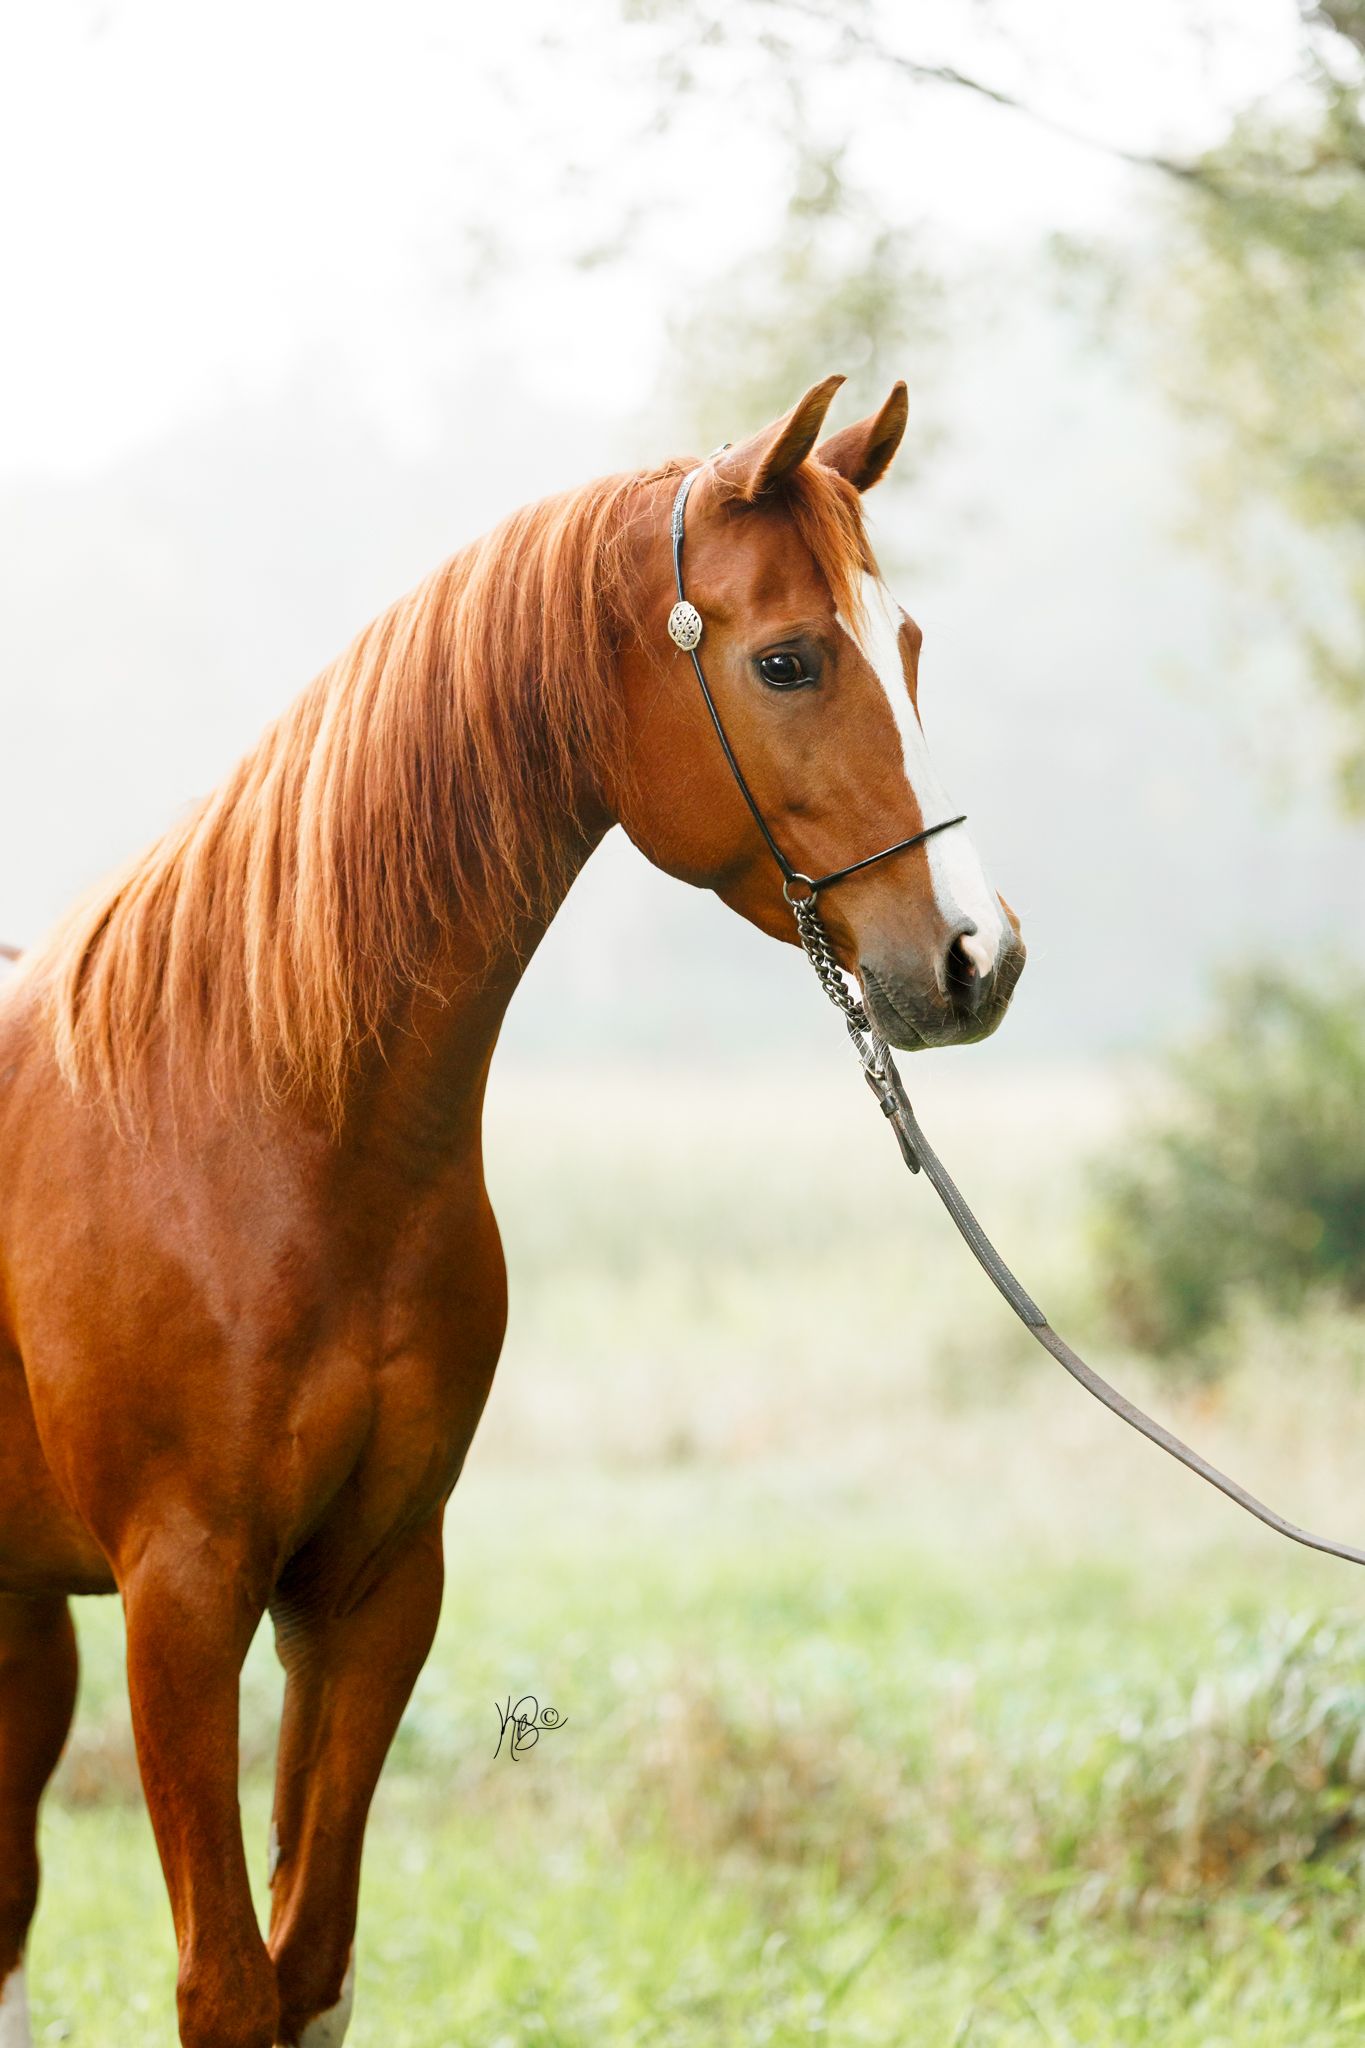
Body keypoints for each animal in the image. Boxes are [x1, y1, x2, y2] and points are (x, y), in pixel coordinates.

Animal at [0, 374, 1024, 2048]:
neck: (262, 1122)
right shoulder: (183, 1597)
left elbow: (311, 1969)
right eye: (788, 659)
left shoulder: (372, 1587)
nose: (974, 958)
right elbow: (227, 1984)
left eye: (912, 639)